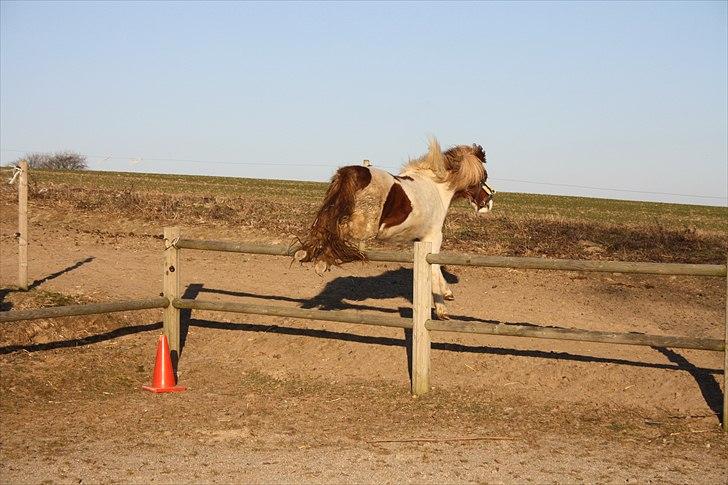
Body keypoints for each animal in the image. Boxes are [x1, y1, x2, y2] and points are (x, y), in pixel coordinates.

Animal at [296, 138, 494, 320]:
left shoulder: (421, 240)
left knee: (322, 225)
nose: (489, 201)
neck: (437, 187)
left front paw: (445, 300)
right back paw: (321, 261)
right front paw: (444, 304)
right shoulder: (434, 237)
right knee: (334, 232)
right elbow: (435, 268)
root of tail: (351, 172)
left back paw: (305, 253)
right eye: (483, 177)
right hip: (363, 226)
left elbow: (433, 268)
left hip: (337, 210)